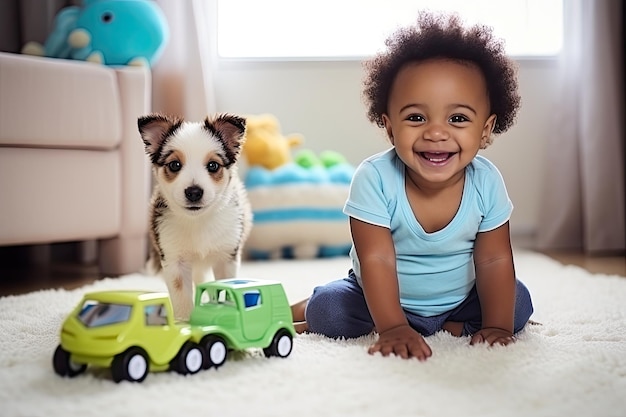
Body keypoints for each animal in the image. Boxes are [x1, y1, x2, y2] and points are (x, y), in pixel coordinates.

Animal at [138, 112, 251, 320]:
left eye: (213, 165)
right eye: (175, 165)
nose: (193, 192)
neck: (198, 220)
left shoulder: (227, 257)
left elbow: (226, 287)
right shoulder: (174, 260)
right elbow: (181, 296)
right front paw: (184, 322)